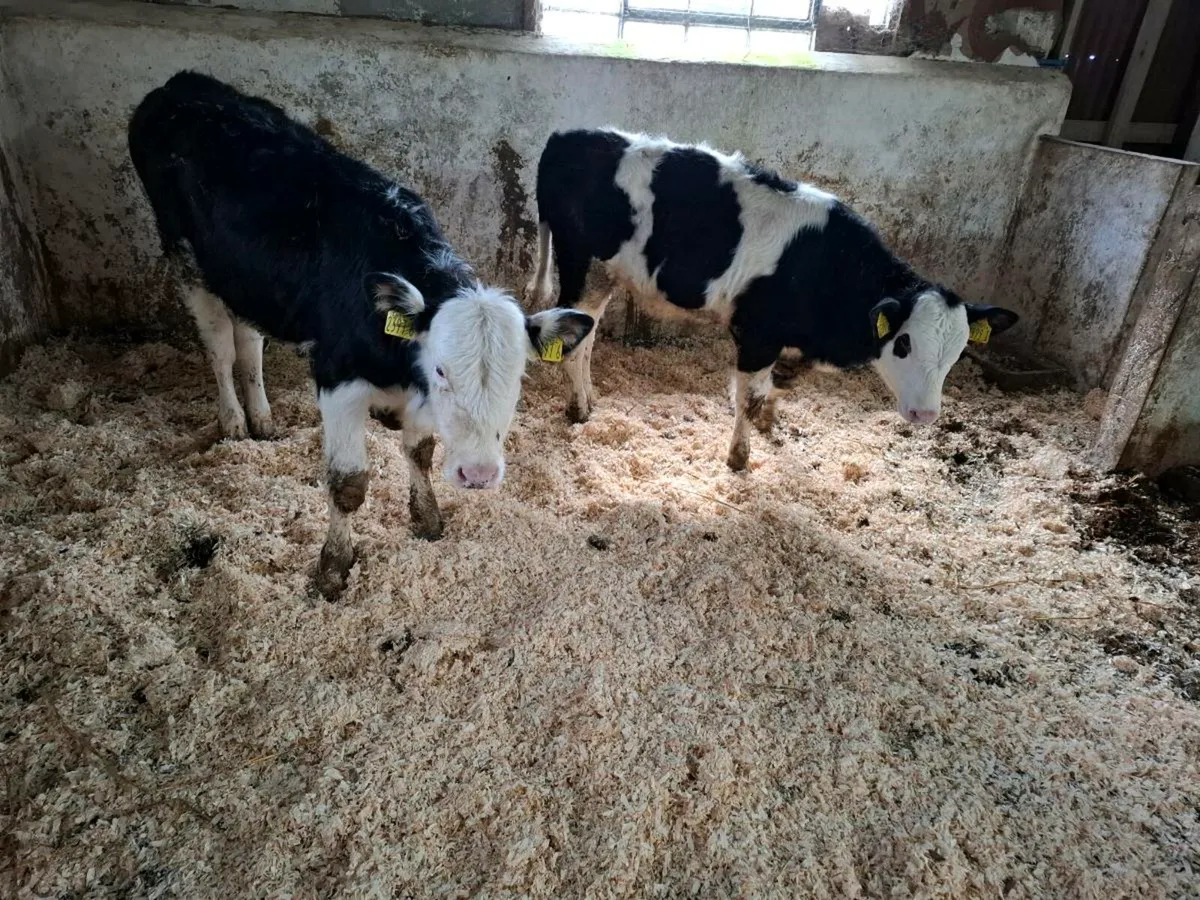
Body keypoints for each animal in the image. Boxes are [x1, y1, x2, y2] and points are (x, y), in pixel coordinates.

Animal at [128, 72, 594, 597]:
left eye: (520, 378)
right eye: (441, 370)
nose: (477, 474)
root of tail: (180, 85)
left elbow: (420, 452)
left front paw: (427, 519)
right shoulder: (338, 379)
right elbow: (348, 484)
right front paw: (333, 566)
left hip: (244, 277)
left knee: (249, 342)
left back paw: (262, 419)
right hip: (185, 256)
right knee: (219, 349)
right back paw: (233, 421)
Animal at [525, 129, 1019, 472]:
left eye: (958, 353)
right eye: (903, 343)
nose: (925, 413)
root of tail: (568, 136)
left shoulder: (792, 342)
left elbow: (779, 385)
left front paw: (768, 422)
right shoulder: (757, 333)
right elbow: (748, 396)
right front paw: (739, 456)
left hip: (604, 275)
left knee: (586, 337)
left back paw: (589, 401)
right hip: (581, 266)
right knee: (573, 345)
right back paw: (577, 408)